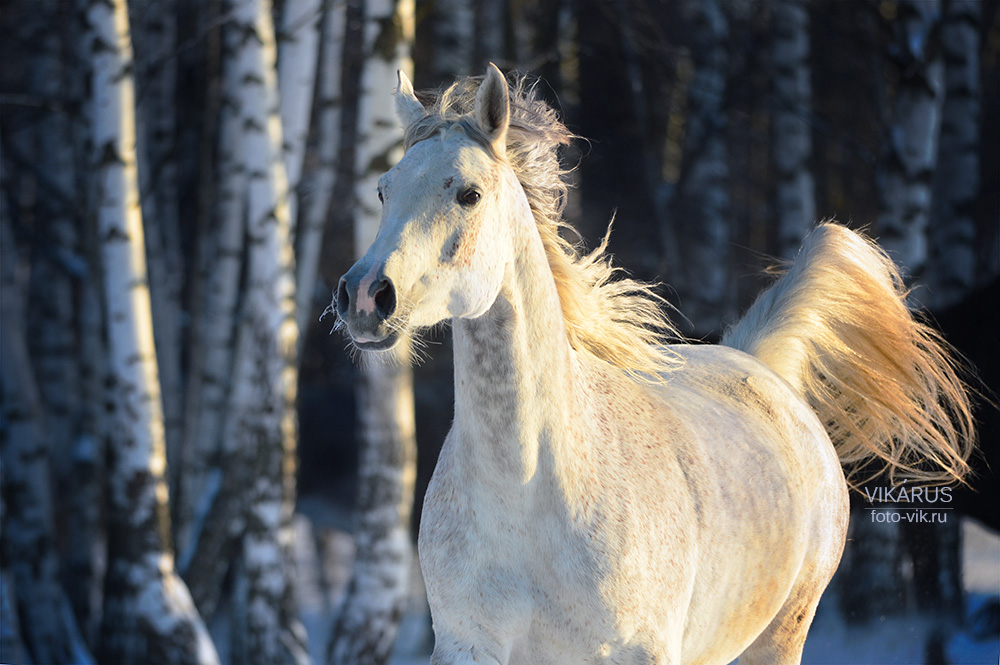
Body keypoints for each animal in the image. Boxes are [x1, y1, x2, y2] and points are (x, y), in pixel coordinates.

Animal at [334, 64, 974, 665]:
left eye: (469, 193)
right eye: (384, 189)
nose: (366, 296)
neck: (530, 492)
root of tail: (758, 362)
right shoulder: (467, 645)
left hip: (781, 636)